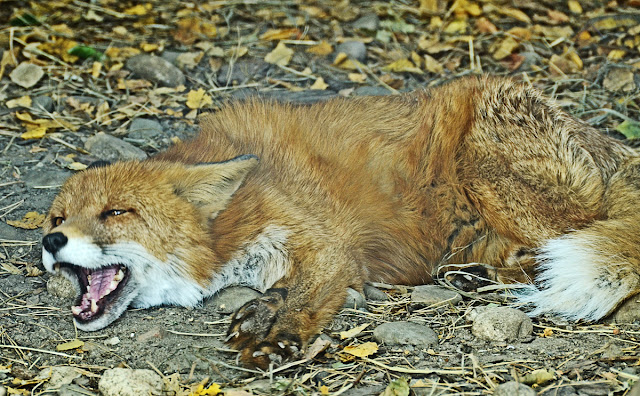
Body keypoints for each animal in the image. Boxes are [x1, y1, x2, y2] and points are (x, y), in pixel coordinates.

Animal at [42, 76, 640, 368]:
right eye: (58, 216)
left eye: (117, 213)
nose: (50, 240)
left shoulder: (325, 243)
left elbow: (303, 294)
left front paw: (275, 333)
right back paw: (472, 277)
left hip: (494, 174)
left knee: (578, 240)